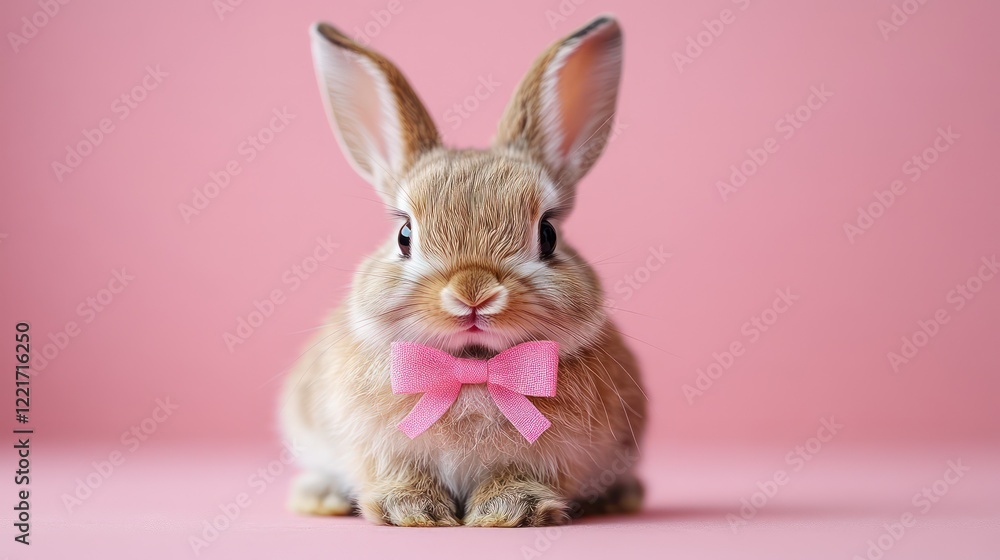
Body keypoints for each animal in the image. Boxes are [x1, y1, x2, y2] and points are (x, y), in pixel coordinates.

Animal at [281, 14, 646, 527]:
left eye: (548, 234)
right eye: (404, 235)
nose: (473, 292)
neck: (472, 369)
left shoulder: (555, 455)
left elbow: (522, 474)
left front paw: (508, 510)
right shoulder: (378, 447)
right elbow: (398, 472)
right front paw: (412, 511)